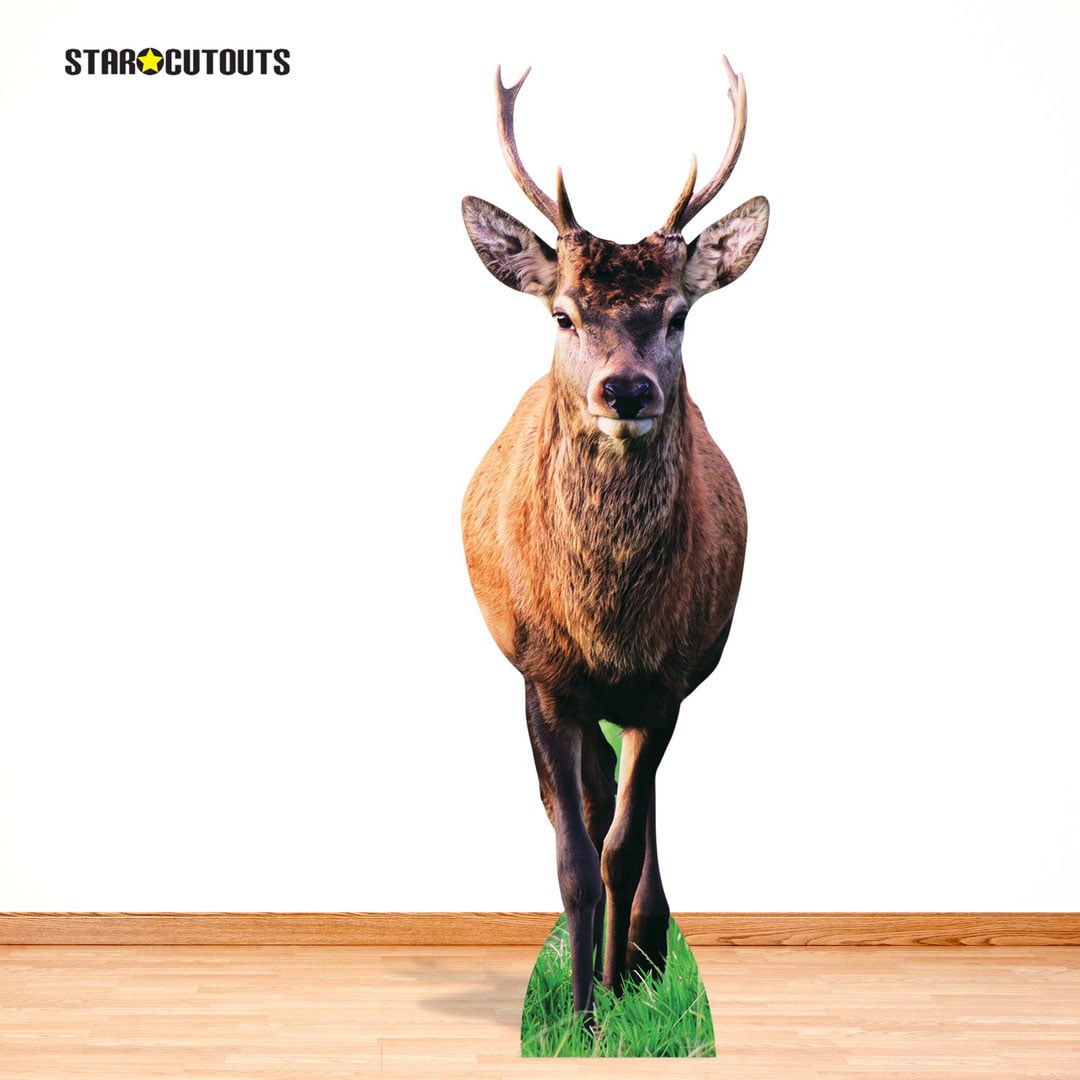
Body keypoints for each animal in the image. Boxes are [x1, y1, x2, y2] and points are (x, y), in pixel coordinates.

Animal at [460, 58, 769, 1019]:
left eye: (677, 316)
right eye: (563, 314)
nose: (625, 390)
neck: (607, 625)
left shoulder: (665, 684)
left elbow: (622, 848)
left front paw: (617, 993)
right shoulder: (544, 674)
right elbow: (573, 858)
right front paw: (581, 1013)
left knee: (639, 817)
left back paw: (645, 953)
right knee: (586, 810)